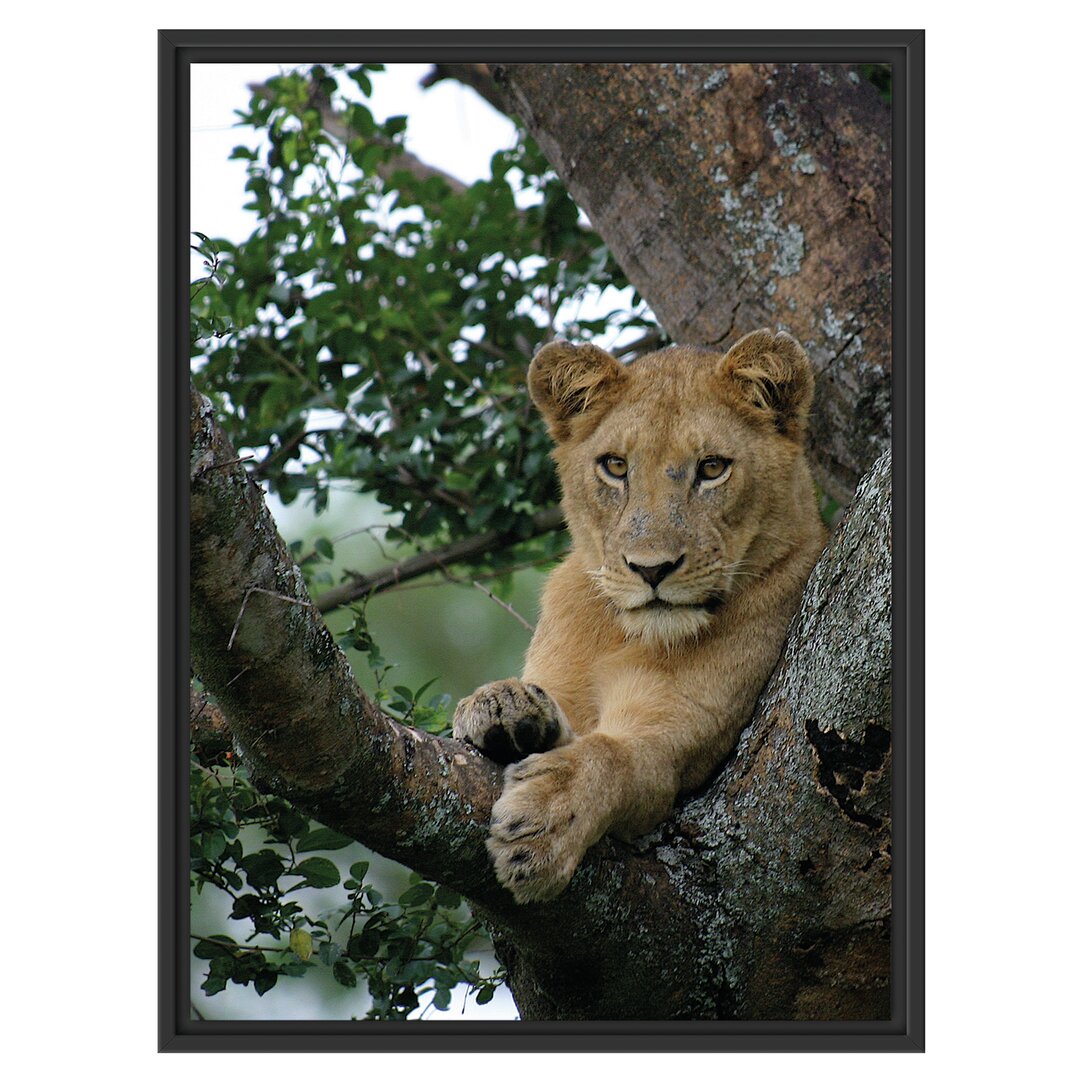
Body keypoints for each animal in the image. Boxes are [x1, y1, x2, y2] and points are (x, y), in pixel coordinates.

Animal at [451, 328, 820, 902]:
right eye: (616, 466)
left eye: (712, 468)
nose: (651, 568)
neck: (624, 634)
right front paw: (500, 705)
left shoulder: (674, 743)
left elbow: (612, 756)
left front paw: (545, 823)